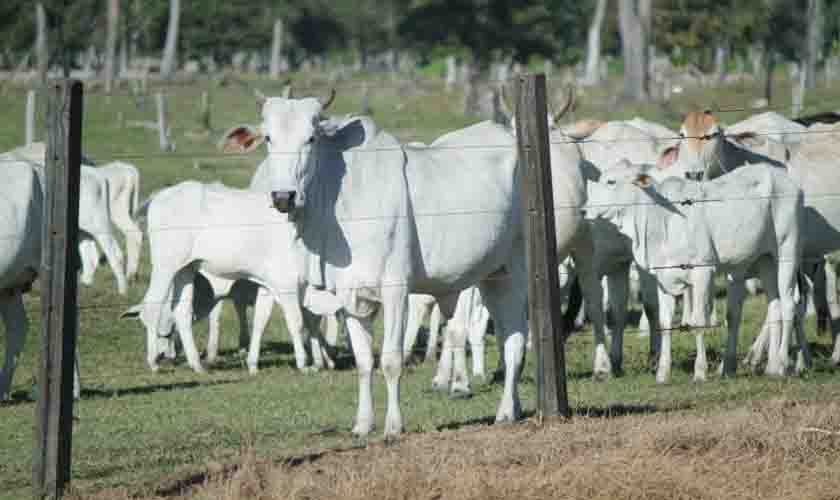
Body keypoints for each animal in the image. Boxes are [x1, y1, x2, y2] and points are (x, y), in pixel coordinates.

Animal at [217, 90, 584, 438]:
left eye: (311, 138)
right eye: (268, 138)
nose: (284, 197)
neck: (339, 198)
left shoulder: (395, 290)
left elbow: (392, 360)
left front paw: (393, 426)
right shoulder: (351, 296)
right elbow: (365, 361)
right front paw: (363, 424)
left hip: (515, 274)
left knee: (514, 341)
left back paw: (505, 411)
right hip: (491, 277)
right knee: (506, 334)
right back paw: (514, 407)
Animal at [588, 162, 804, 380]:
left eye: (611, 182)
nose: (586, 208)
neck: (662, 220)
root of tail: (780, 174)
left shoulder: (703, 271)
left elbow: (698, 322)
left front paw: (700, 372)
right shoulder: (663, 278)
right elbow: (665, 323)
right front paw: (663, 373)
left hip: (787, 252)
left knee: (789, 305)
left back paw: (782, 363)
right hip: (765, 261)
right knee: (774, 306)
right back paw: (770, 367)